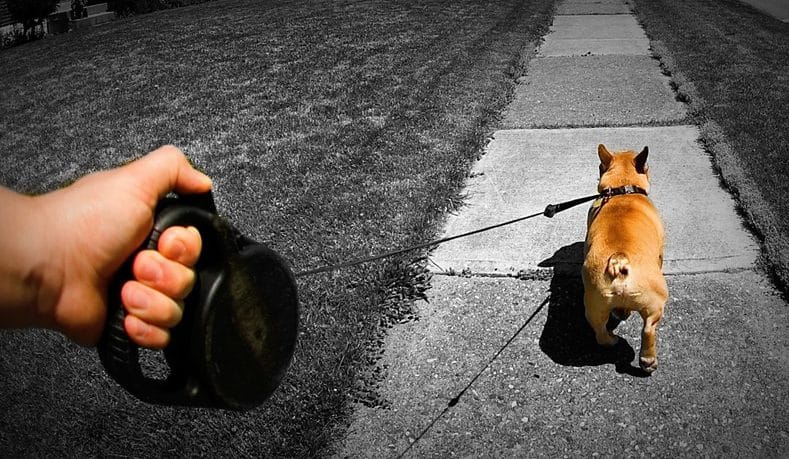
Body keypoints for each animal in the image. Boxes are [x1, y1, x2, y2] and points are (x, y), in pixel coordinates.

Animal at [580, 144, 668, 374]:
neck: (621, 189)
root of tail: (619, 260)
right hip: (656, 304)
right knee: (648, 329)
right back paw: (648, 360)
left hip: (595, 305)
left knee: (600, 331)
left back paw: (612, 338)